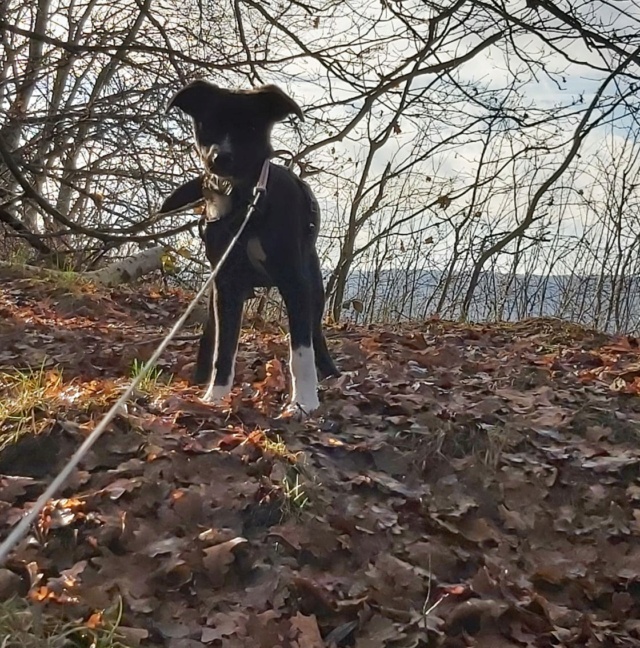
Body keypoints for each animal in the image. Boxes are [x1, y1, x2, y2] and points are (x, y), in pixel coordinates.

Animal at [159, 81, 340, 418]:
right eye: (208, 123)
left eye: (252, 127)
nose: (221, 158)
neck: (245, 203)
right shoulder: (226, 283)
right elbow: (224, 347)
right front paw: (215, 396)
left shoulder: (295, 282)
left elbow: (301, 351)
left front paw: (303, 402)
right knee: (212, 334)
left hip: (314, 287)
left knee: (315, 333)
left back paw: (331, 373)